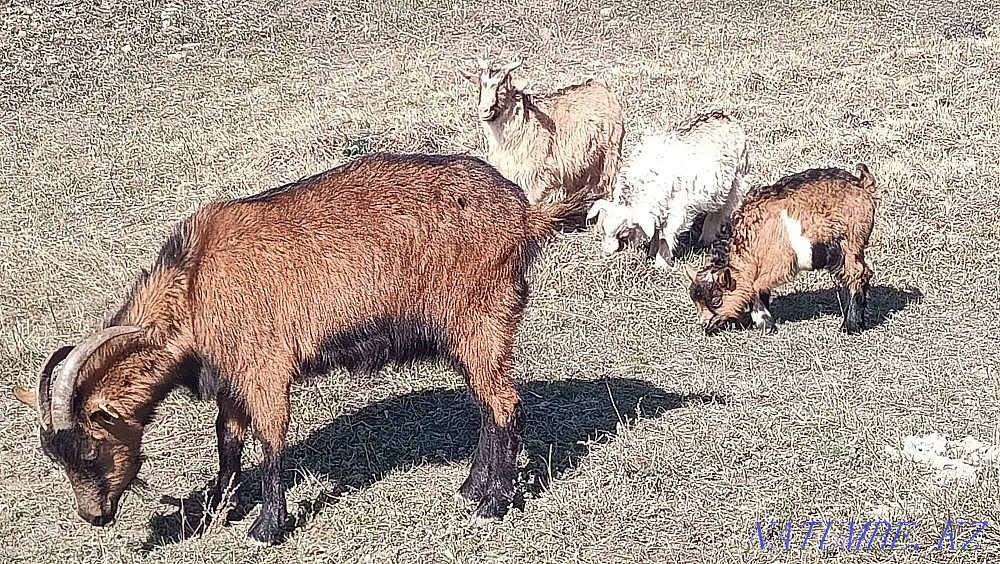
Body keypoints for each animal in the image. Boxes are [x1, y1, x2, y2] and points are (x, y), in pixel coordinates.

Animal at [12, 153, 578, 544]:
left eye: (88, 449)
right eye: (54, 455)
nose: (94, 516)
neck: (194, 283)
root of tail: (524, 215)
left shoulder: (265, 368)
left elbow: (270, 443)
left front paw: (266, 527)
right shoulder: (231, 377)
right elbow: (228, 440)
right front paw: (217, 507)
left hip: (482, 318)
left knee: (504, 403)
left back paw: (493, 503)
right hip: (469, 335)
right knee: (487, 403)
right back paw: (470, 489)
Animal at [458, 58, 624, 221]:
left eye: (502, 89)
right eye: (479, 88)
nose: (484, 110)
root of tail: (600, 85)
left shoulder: (533, 179)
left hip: (610, 155)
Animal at [587, 111, 750, 269]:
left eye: (623, 236)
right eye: (604, 230)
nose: (607, 253)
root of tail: (727, 117)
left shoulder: (678, 210)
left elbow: (666, 235)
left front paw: (661, 264)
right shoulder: (658, 208)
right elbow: (655, 231)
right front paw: (651, 253)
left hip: (737, 182)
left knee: (720, 211)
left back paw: (705, 239)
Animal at [687, 164, 877, 335]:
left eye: (716, 301)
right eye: (696, 301)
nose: (704, 325)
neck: (747, 241)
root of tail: (861, 183)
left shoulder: (778, 265)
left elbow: (755, 288)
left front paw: (766, 325)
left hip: (849, 242)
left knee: (856, 274)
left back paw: (850, 326)